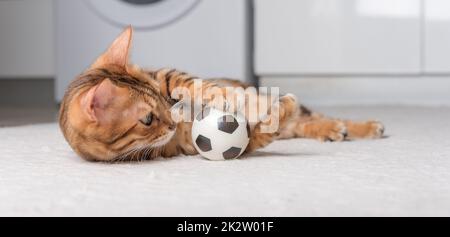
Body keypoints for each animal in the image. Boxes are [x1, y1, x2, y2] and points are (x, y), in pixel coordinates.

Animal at [59, 27, 384, 161]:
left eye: (162, 98)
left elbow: (191, 81)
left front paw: (226, 95)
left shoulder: (164, 74)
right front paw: (276, 110)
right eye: (148, 120)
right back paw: (330, 129)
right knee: (302, 123)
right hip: (296, 127)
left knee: (315, 115)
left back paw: (361, 127)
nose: (173, 119)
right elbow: (262, 132)